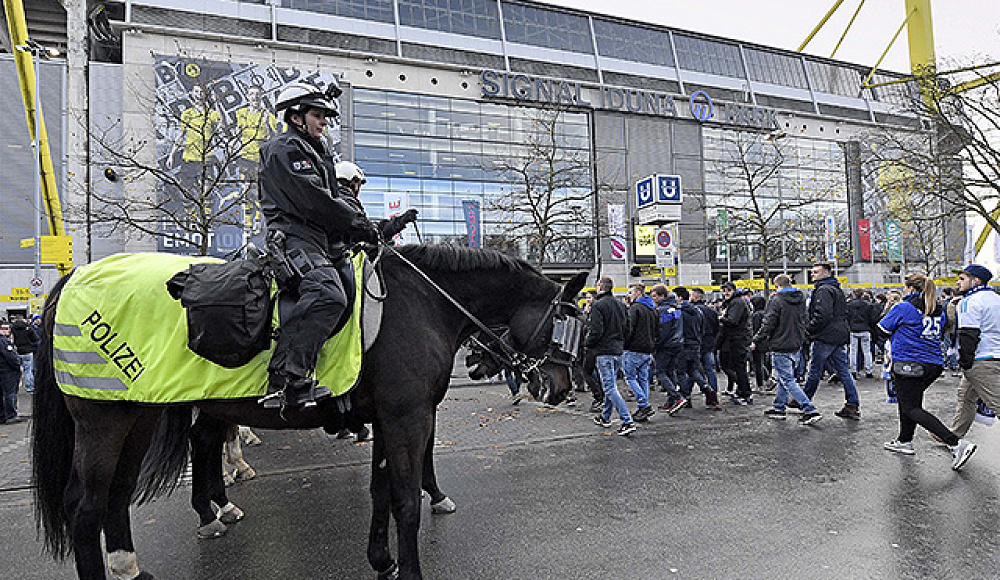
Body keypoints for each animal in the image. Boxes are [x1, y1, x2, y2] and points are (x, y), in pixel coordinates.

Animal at [35, 246, 588, 580]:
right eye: (563, 324)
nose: (561, 386)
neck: (422, 304)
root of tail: (75, 278)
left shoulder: (388, 421)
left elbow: (381, 494)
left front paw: (381, 559)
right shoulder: (409, 419)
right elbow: (405, 502)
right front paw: (411, 561)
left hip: (138, 415)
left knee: (123, 489)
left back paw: (141, 556)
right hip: (104, 421)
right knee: (85, 506)